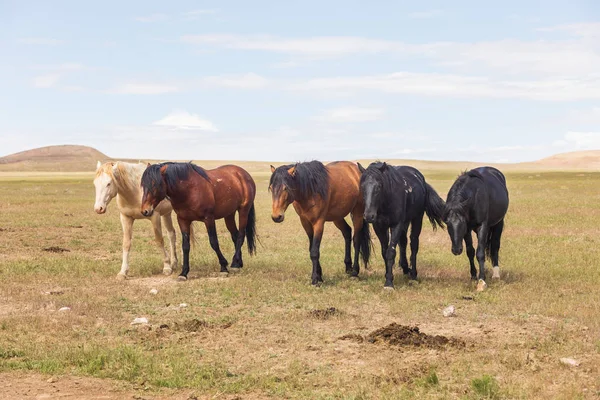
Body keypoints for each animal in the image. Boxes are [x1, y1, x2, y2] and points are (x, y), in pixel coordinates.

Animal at [356, 161, 446, 290]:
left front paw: (389, 283)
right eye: (362, 187)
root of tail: (421, 180)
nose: (369, 216)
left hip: (417, 218)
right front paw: (388, 275)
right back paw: (405, 268)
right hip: (405, 222)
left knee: (414, 244)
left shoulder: (397, 225)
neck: (386, 201)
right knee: (403, 242)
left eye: (379, 187)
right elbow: (385, 252)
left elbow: (391, 252)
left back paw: (413, 275)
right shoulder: (380, 227)